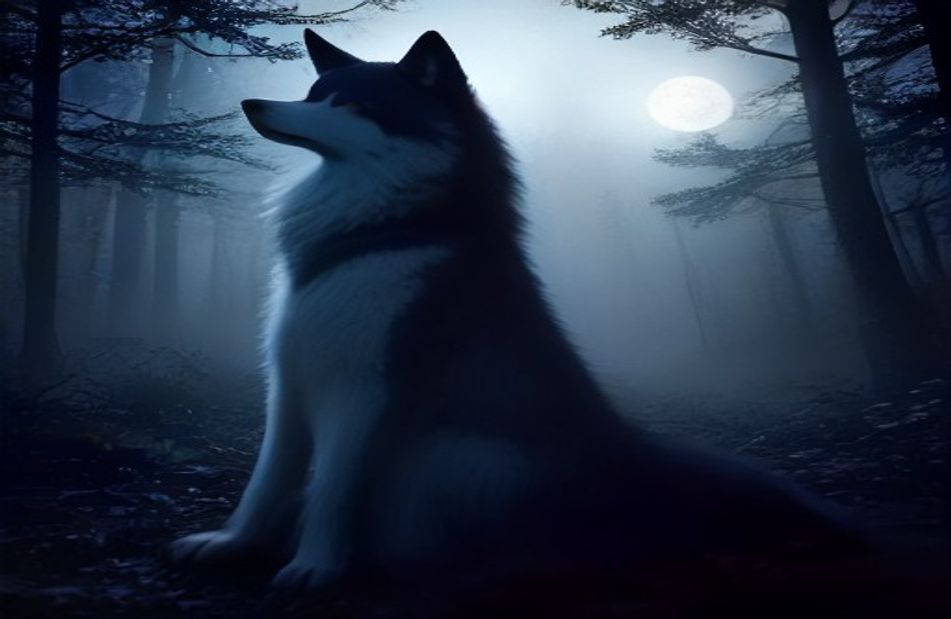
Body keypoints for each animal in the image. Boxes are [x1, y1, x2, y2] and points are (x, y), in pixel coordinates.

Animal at [171, 30, 861, 589]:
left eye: (344, 105)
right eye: (312, 93)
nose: (252, 105)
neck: (384, 231)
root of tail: (622, 453)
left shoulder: (363, 391)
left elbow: (332, 488)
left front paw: (315, 566)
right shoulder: (290, 381)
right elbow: (267, 479)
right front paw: (234, 543)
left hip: (459, 454)